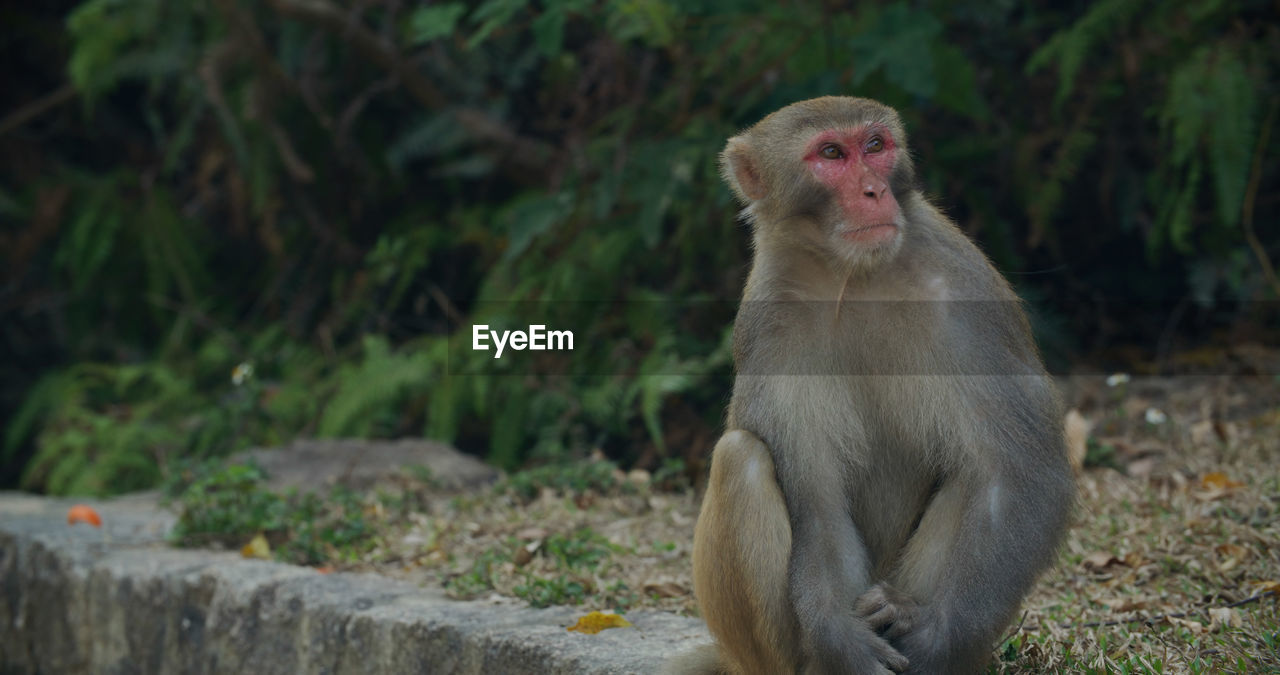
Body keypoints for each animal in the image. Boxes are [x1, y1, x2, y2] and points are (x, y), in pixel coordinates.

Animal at [665, 99, 1075, 675]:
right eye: (832, 154)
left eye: (876, 146)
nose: (873, 191)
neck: (851, 276)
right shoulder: (768, 322)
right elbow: (817, 500)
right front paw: (841, 638)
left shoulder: (967, 291)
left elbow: (1021, 473)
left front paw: (932, 637)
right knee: (740, 457)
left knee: (974, 472)